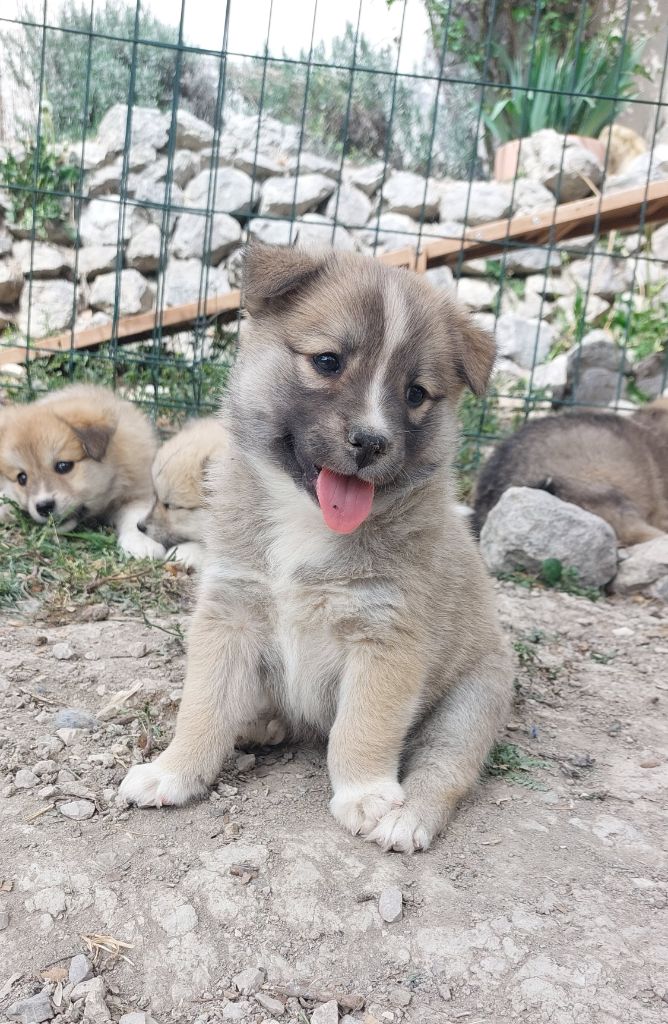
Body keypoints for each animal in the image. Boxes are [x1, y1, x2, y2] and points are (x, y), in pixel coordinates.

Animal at [0, 384, 164, 559]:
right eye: (22, 478)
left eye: (63, 466)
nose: (43, 507)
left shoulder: (142, 488)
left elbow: (137, 514)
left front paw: (143, 541)